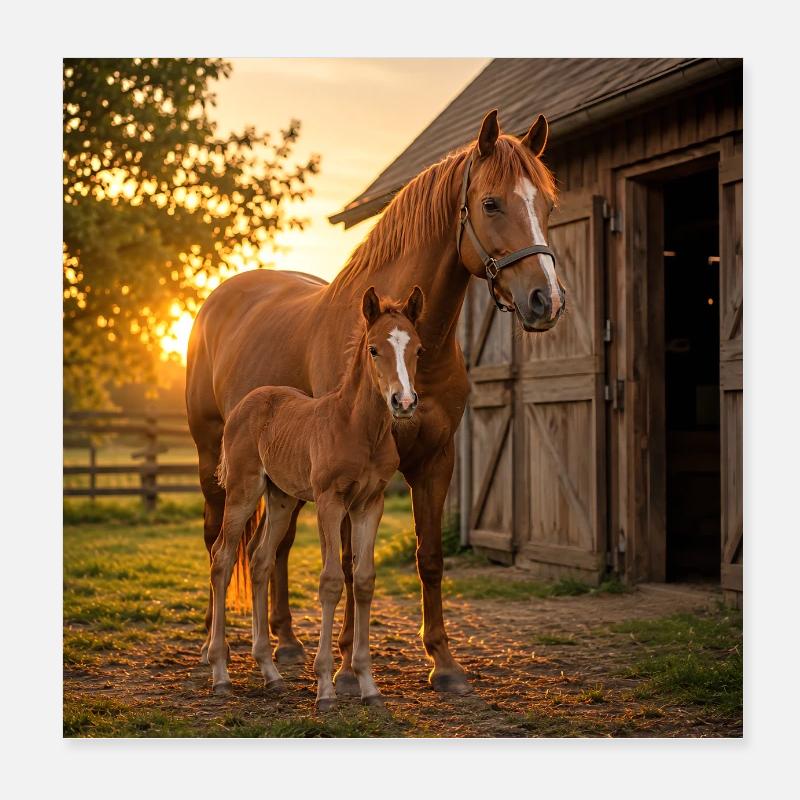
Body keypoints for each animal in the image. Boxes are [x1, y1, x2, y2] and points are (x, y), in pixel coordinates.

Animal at [209, 287, 424, 709]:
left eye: (418, 349)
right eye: (374, 349)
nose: (403, 402)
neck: (359, 429)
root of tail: (247, 402)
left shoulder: (369, 505)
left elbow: (363, 580)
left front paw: (368, 686)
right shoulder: (329, 502)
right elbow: (331, 581)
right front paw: (325, 688)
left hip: (280, 498)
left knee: (259, 561)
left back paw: (271, 673)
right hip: (243, 491)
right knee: (222, 558)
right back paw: (220, 673)